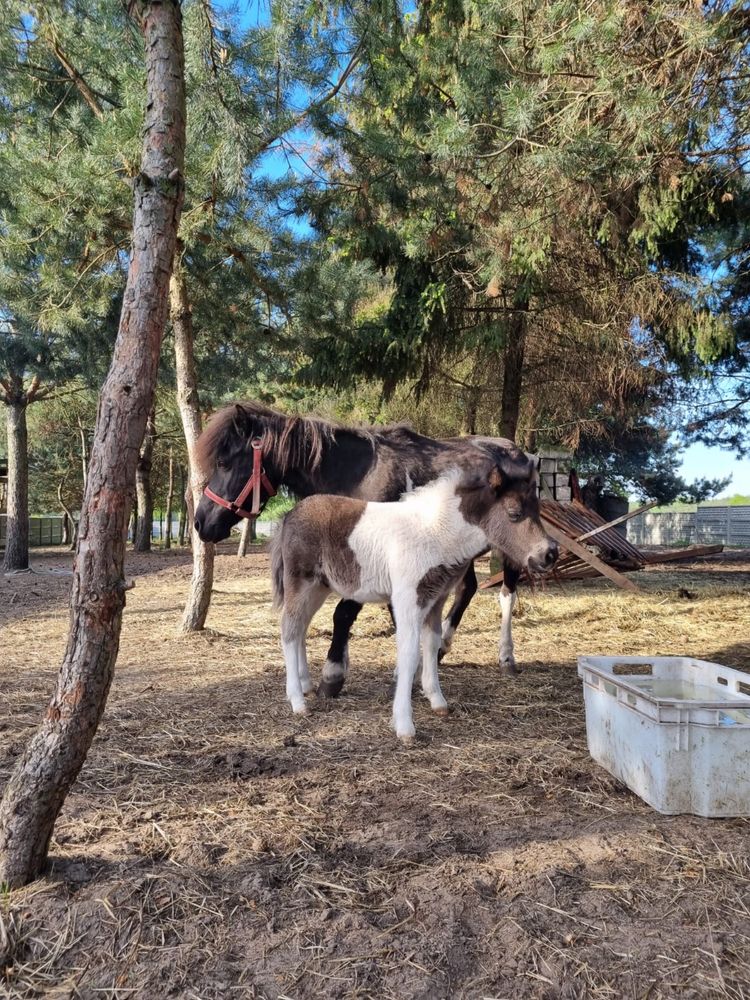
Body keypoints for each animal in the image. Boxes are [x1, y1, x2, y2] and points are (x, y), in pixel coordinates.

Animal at [195, 402, 536, 692]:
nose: (200, 522)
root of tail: (520, 453)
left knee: (507, 591)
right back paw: (442, 647)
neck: (355, 476)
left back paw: (506, 656)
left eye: (224, 462)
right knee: (467, 588)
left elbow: (345, 612)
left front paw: (333, 673)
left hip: (510, 549)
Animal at [272, 454, 560, 744]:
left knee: (300, 628)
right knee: (289, 629)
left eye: (537, 510)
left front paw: (437, 701)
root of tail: (289, 515)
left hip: (319, 587)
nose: (550, 554)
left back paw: (306, 685)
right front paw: (404, 725)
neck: (435, 531)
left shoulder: (437, 598)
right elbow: (409, 652)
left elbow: (431, 643)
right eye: (514, 513)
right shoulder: (407, 597)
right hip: (301, 582)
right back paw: (297, 701)